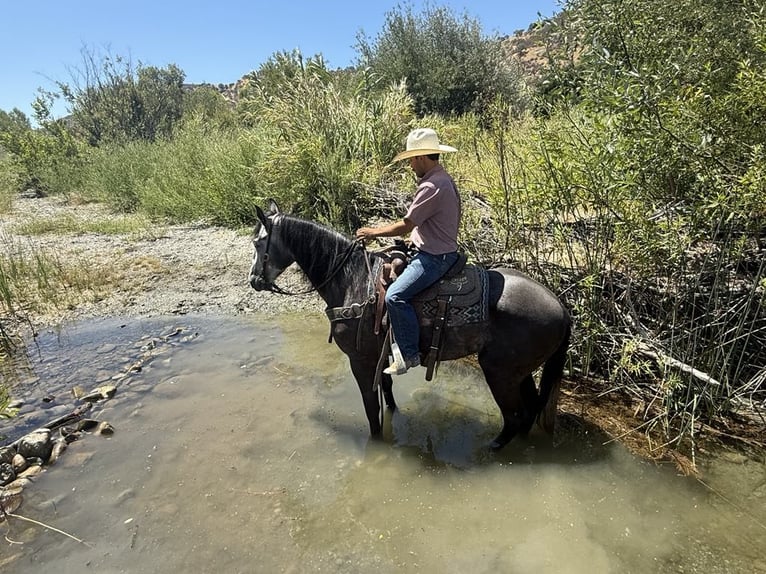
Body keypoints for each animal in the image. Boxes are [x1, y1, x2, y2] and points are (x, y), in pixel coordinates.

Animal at [248, 199, 572, 450]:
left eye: (258, 242)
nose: (254, 281)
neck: (353, 280)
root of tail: (561, 307)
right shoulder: (380, 355)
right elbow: (387, 393)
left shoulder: (359, 360)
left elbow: (371, 410)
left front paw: (376, 445)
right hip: (520, 371)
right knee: (530, 410)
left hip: (499, 372)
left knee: (515, 416)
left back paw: (492, 448)